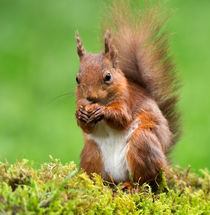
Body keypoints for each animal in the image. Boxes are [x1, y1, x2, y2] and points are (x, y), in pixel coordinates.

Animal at [74, 0, 180, 186]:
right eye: (77, 79)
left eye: (108, 77)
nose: (90, 97)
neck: (102, 101)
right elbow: (86, 127)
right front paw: (80, 114)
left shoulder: (126, 100)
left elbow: (122, 118)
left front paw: (103, 111)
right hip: (92, 152)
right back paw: (97, 183)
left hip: (142, 144)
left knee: (148, 181)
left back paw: (132, 186)